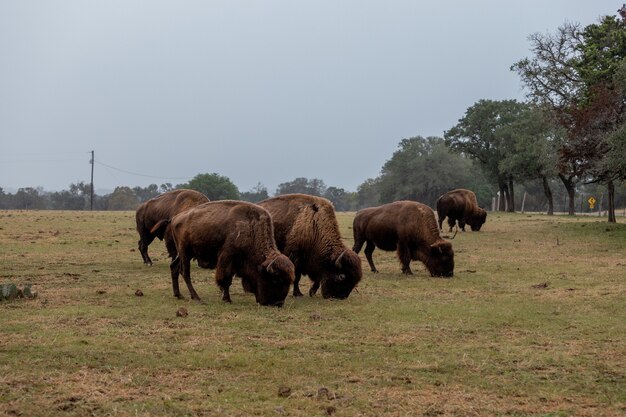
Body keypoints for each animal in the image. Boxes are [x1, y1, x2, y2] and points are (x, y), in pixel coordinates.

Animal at [153, 199, 294, 306]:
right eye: (275, 280)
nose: (278, 303)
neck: (250, 228)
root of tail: (174, 218)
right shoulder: (227, 257)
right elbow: (226, 279)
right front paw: (227, 299)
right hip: (184, 251)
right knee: (184, 272)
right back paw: (196, 297)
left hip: (184, 253)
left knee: (174, 267)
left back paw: (179, 295)